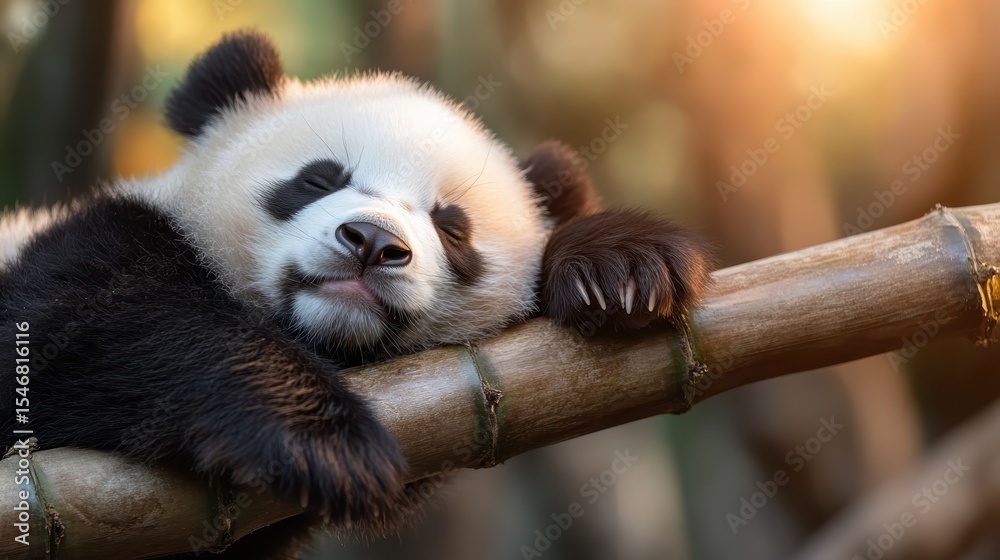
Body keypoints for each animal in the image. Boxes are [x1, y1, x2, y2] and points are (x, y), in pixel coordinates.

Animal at [0, 31, 711, 558]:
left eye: (452, 227)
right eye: (318, 179)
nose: (372, 242)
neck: (325, 338)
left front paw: (620, 264)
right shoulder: (94, 245)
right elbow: (83, 330)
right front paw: (322, 441)